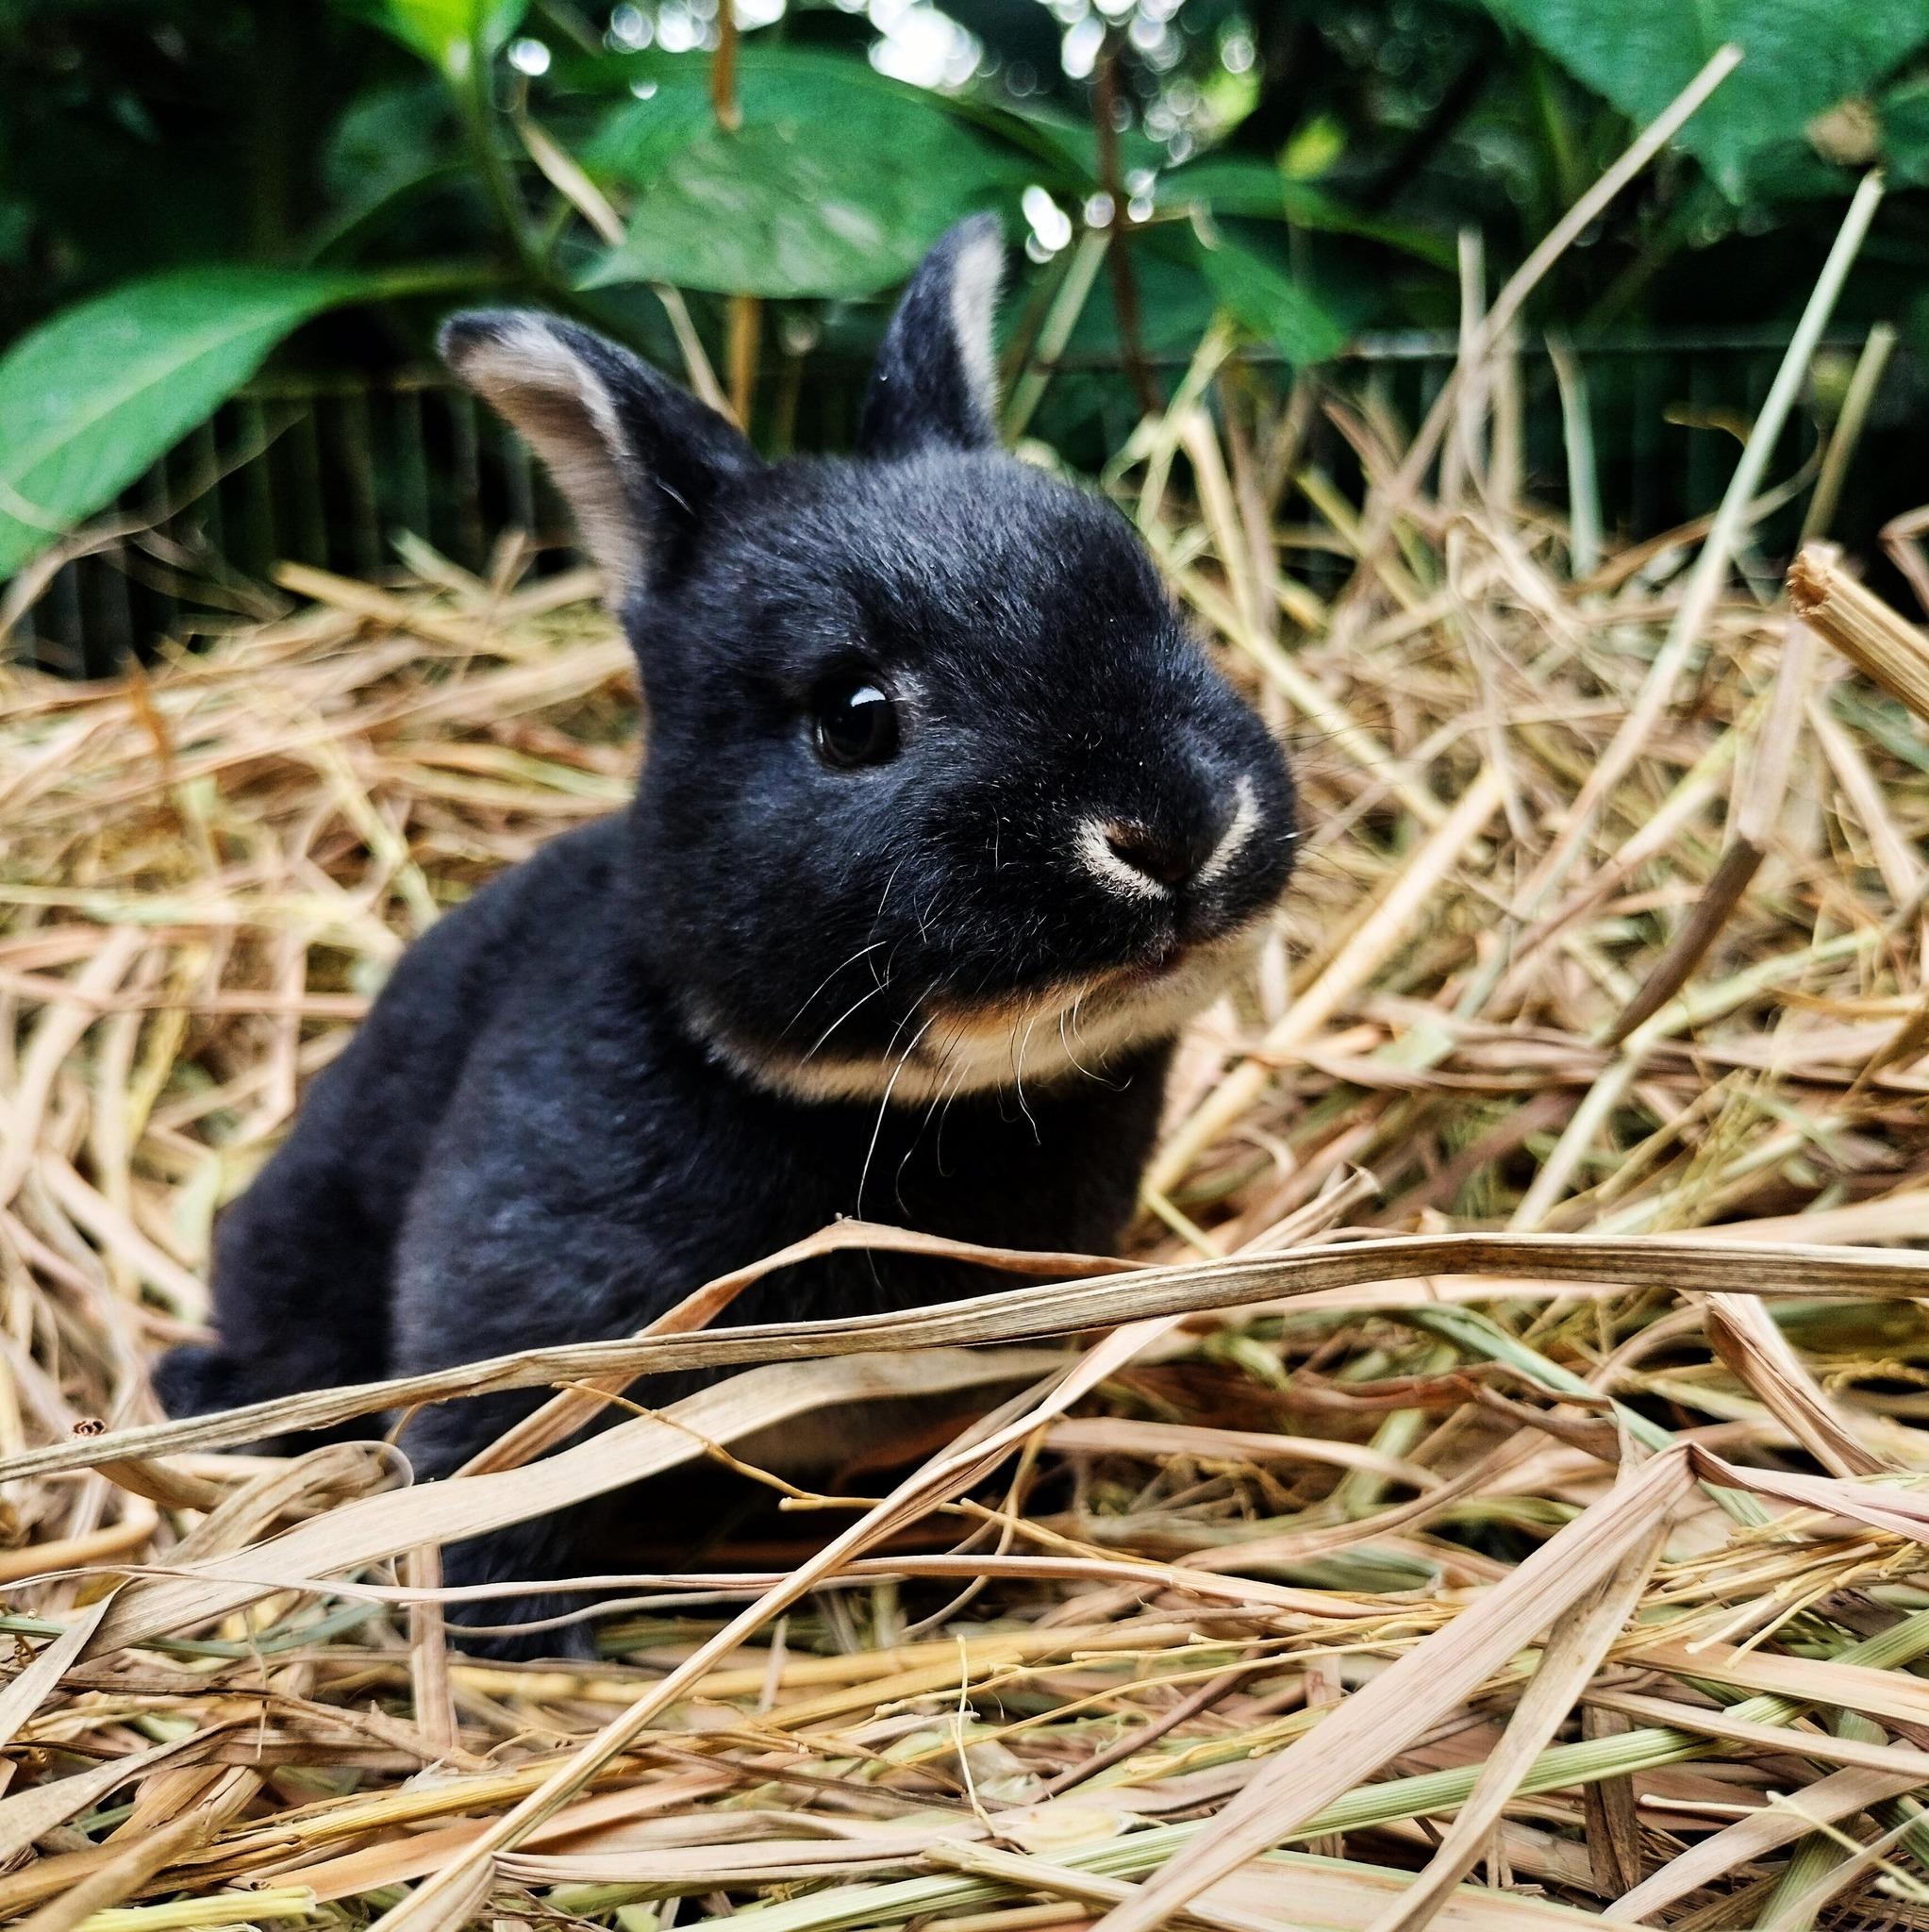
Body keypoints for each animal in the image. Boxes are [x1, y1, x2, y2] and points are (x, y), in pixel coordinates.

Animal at [152, 215, 1298, 1655]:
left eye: (1158, 608)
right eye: (854, 715)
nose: (1172, 831)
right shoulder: (524, 1334)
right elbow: (491, 1482)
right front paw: (515, 1644)